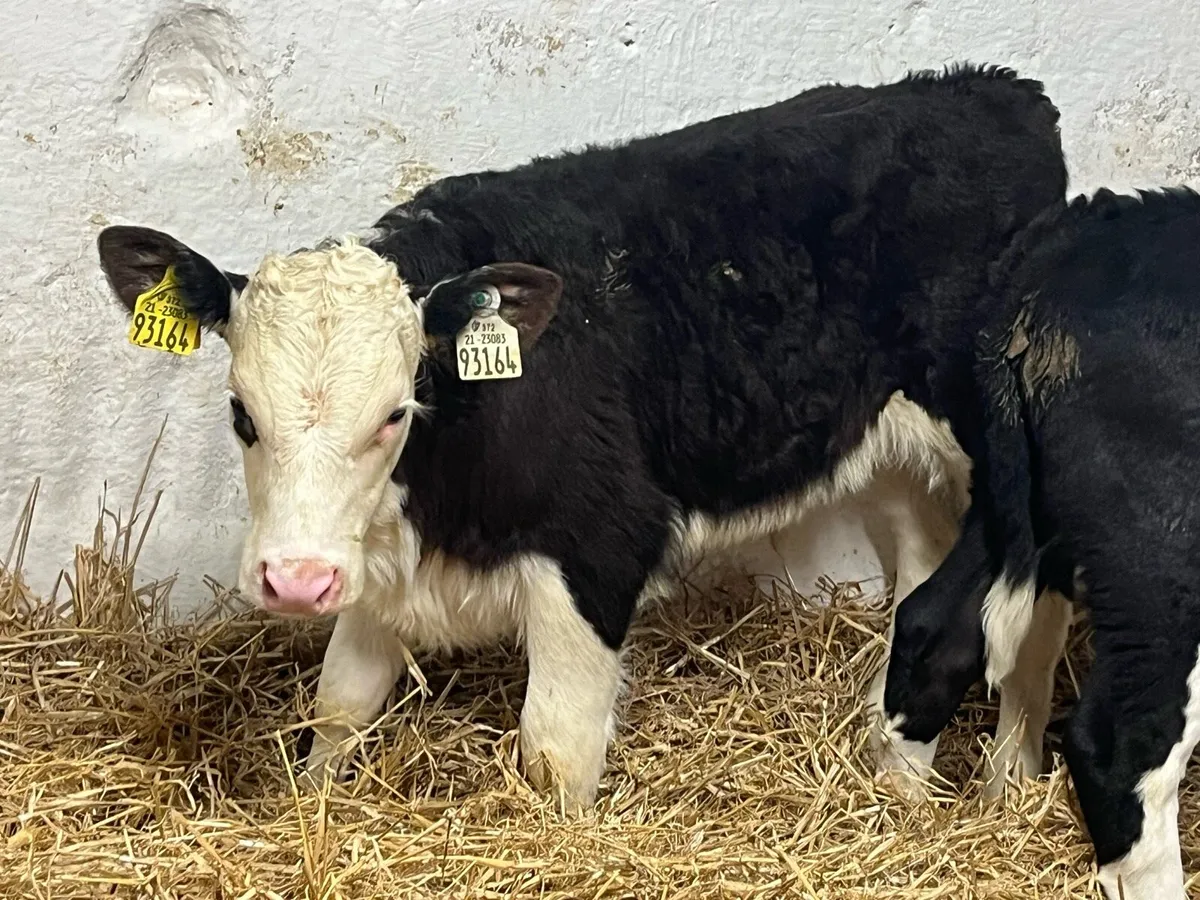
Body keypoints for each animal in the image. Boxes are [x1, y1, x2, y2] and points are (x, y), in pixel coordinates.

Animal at [95, 62, 1067, 811]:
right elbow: (337, 708)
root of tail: (999, 92)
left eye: (394, 413)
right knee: (922, 572)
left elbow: (553, 751)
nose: (297, 580)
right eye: (240, 413)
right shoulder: (378, 564)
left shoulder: (601, 542)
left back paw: (1003, 787)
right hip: (897, 451)